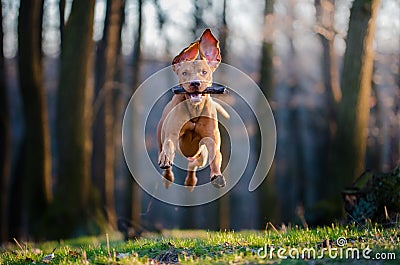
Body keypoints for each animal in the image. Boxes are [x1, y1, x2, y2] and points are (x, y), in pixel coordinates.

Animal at [158, 28, 230, 188]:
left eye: (204, 72)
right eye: (184, 73)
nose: (195, 83)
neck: (194, 110)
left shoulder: (212, 139)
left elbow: (215, 155)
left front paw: (217, 175)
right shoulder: (172, 133)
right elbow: (169, 144)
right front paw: (166, 158)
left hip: (200, 154)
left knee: (195, 163)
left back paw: (191, 181)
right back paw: (168, 176)